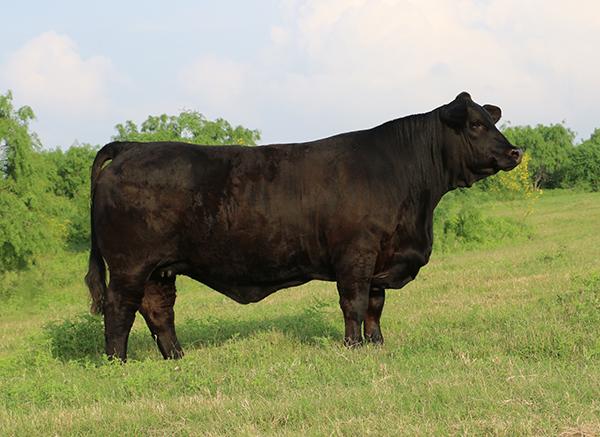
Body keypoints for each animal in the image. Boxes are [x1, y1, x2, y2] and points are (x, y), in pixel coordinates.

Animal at [86, 91, 524, 358]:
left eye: (492, 121)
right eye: (476, 125)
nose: (515, 152)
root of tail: (131, 148)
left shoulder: (382, 258)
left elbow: (375, 306)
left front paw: (377, 344)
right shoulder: (356, 255)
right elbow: (353, 304)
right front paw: (353, 347)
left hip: (160, 268)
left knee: (159, 310)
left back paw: (176, 356)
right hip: (129, 265)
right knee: (119, 310)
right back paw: (117, 362)